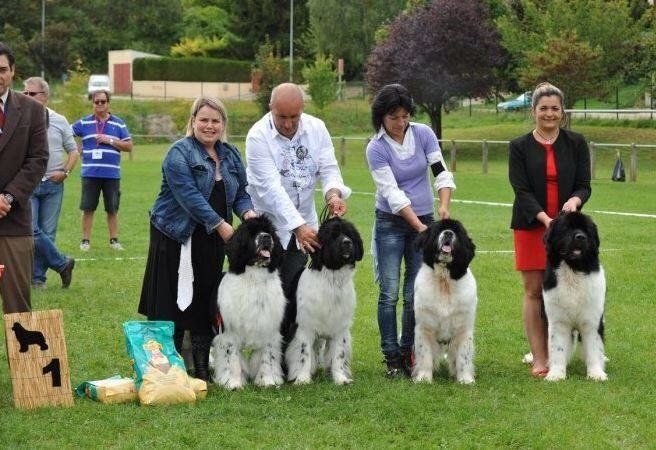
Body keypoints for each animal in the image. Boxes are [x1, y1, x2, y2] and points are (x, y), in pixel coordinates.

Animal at [211, 216, 286, 388]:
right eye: (251, 234)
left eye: (269, 231)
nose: (266, 237)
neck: (254, 278)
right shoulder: (229, 331)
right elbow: (232, 358)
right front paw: (234, 384)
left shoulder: (268, 326)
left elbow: (267, 357)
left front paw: (267, 381)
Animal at [284, 216, 364, 384]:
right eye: (333, 236)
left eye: (349, 234)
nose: (347, 242)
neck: (332, 279)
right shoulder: (304, 326)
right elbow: (304, 353)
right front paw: (302, 379)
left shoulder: (340, 328)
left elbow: (338, 354)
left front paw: (340, 378)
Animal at [416, 218, 476, 384]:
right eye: (439, 230)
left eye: (457, 232)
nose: (448, 233)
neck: (444, 281)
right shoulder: (424, 327)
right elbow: (425, 354)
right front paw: (424, 378)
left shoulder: (463, 328)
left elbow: (463, 356)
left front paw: (465, 379)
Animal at [540, 211, 608, 380]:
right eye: (566, 228)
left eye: (586, 231)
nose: (580, 237)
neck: (574, 272)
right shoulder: (558, 322)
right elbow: (558, 348)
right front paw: (556, 374)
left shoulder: (592, 321)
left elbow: (593, 347)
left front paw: (596, 373)